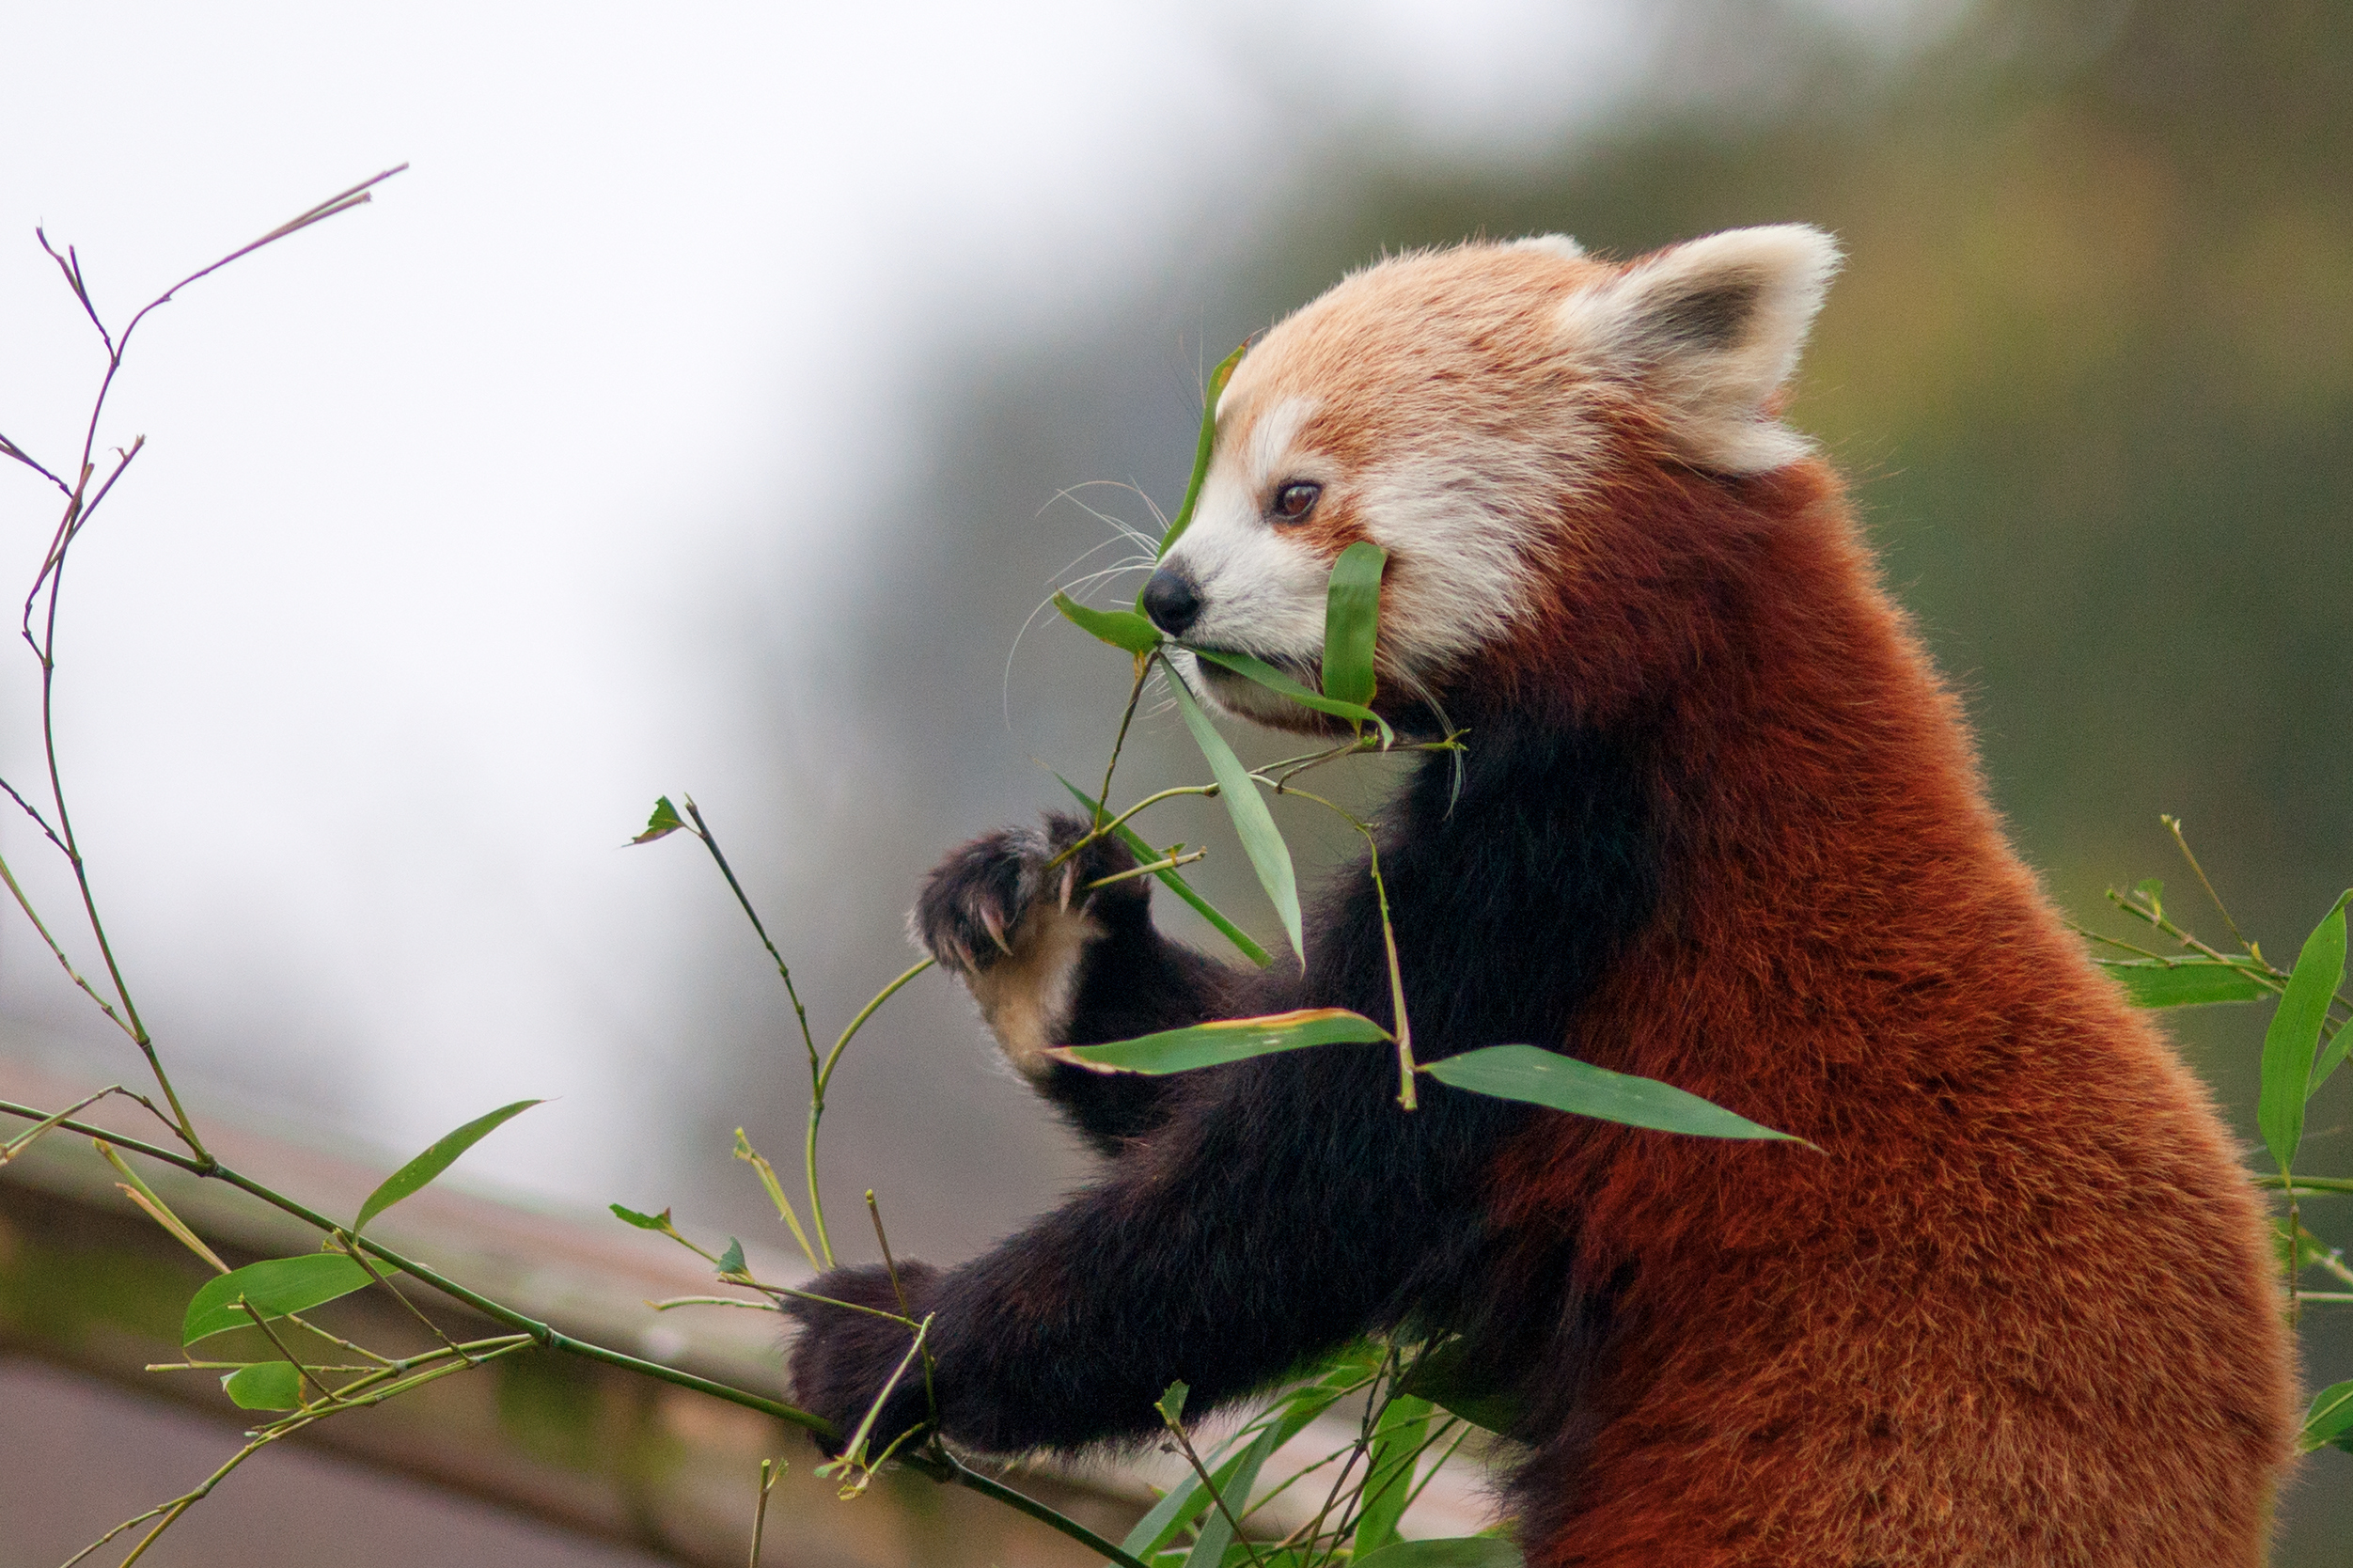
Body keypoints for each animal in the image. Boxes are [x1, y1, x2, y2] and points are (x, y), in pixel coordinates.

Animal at [791, 226, 2296, 1553]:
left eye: (1295, 496)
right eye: (1210, 489)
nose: (1164, 597)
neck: (1684, 653)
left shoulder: (1576, 868)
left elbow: (1300, 1189)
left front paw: (898, 1339)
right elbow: (1240, 1052)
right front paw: (1042, 934)